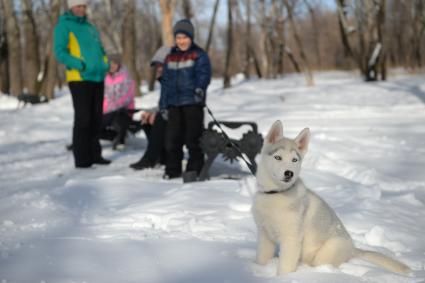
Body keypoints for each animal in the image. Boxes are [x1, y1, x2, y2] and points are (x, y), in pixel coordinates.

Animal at [250, 121, 410, 276]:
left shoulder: (292, 238)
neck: (275, 193)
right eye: (278, 157)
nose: (289, 173)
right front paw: (255, 271)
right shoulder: (264, 235)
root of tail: (353, 249)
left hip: (328, 251)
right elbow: (261, 258)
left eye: (294, 160)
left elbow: (285, 267)